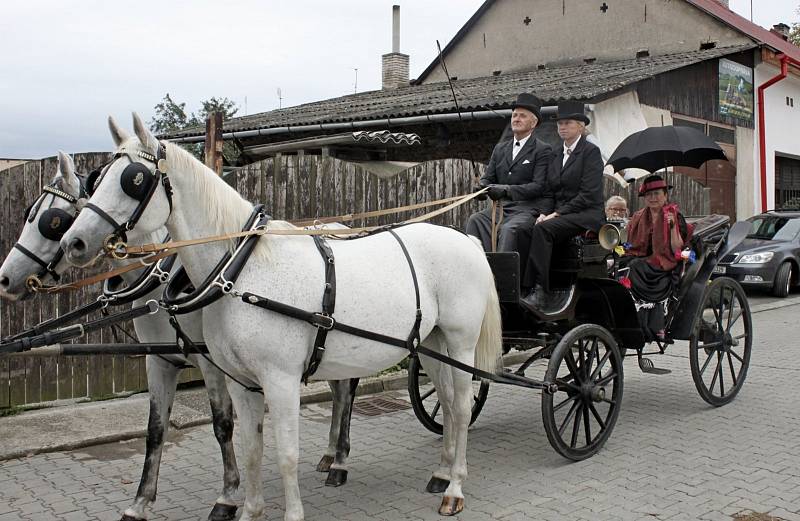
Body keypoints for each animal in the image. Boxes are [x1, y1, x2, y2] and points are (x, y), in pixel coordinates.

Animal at [61, 114, 500, 520]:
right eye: (98, 179)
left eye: (133, 179)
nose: (73, 242)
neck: (241, 271)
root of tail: (467, 240)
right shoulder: (240, 381)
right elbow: (251, 449)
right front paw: (249, 510)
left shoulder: (281, 380)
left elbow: (286, 454)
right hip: (429, 344)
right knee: (446, 401)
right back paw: (441, 473)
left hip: (460, 343)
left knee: (462, 407)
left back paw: (454, 488)